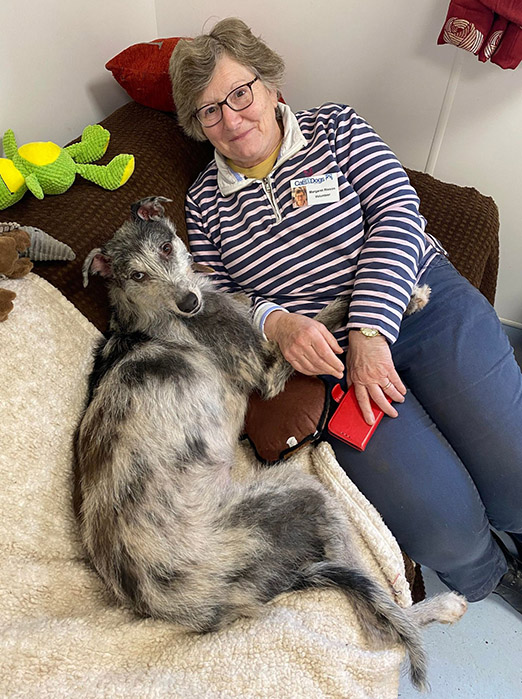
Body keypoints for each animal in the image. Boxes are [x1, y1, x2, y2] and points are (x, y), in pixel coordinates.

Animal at [73, 196, 464, 688]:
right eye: (136, 275)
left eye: (165, 247)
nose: (189, 302)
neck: (147, 315)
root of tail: (187, 608)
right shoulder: (267, 370)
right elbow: (321, 319)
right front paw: (409, 297)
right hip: (301, 498)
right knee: (379, 627)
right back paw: (441, 606)